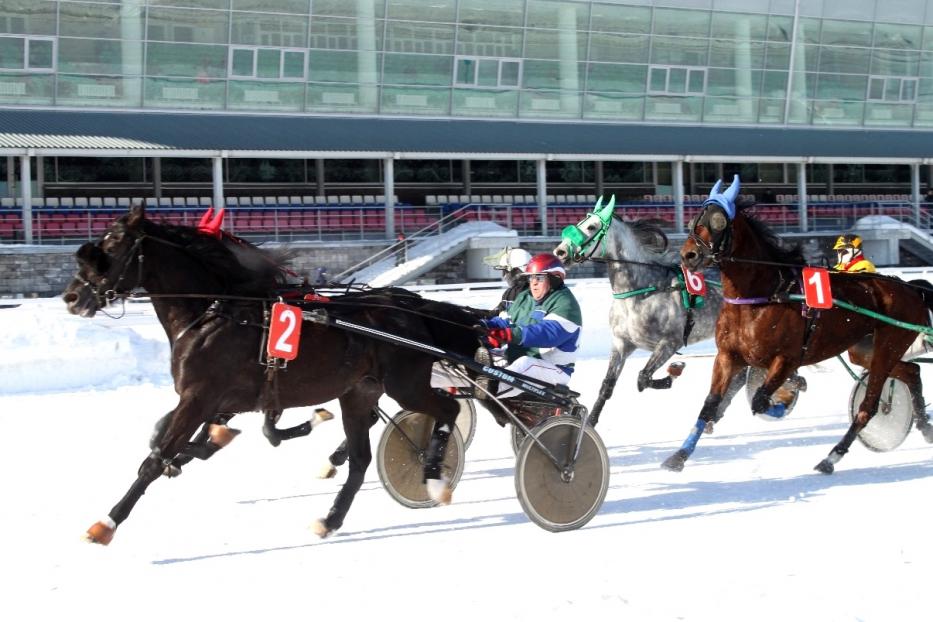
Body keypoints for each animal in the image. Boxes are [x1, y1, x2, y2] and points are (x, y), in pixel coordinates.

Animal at [62, 206, 484, 544]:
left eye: (113, 245)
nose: (72, 296)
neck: (212, 315)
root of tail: (413, 310)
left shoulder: (200, 397)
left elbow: (157, 456)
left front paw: (106, 523)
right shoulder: (218, 400)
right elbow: (168, 441)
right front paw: (191, 453)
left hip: (404, 384)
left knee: (447, 410)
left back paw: (434, 477)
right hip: (358, 392)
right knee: (361, 458)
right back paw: (330, 519)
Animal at [664, 178, 932, 476]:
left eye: (720, 221)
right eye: (694, 220)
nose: (688, 255)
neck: (763, 295)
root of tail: (911, 289)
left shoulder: (786, 358)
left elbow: (760, 400)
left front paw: (785, 398)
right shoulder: (727, 356)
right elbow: (710, 404)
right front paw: (679, 455)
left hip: (888, 346)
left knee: (869, 406)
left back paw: (831, 458)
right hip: (865, 351)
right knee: (912, 371)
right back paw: (925, 425)